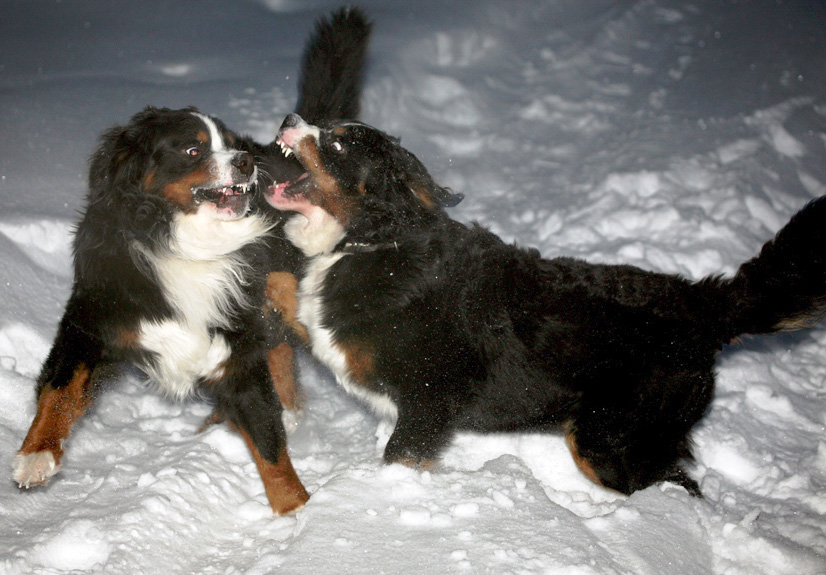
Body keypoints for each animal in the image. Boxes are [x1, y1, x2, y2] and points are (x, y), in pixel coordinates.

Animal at [14, 7, 370, 516]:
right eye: (193, 148)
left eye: (231, 142)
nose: (245, 161)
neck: (185, 242)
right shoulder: (95, 314)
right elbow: (61, 387)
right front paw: (36, 455)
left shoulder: (234, 345)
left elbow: (269, 443)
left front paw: (296, 512)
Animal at [260, 115, 824, 498]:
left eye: (336, 141)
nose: (288, 118)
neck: (374, 241)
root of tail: (701, 301)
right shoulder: (335, 334)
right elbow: (283, 285)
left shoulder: (428, 400)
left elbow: (399, 456)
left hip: (609, 438)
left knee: (674, 484)